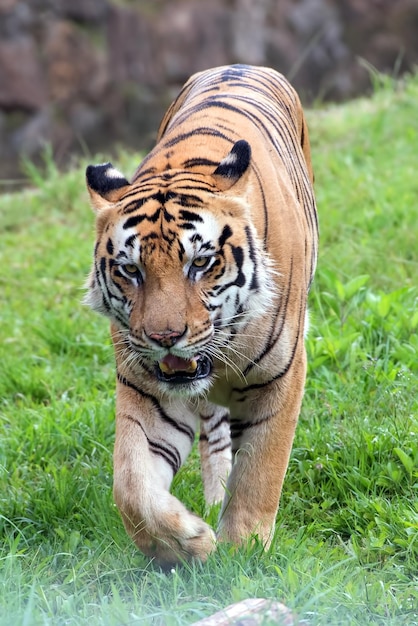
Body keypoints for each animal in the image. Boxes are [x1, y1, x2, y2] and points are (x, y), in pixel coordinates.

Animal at [86, 64, 318, 564]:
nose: (165, 337)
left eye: (201, 263)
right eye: (130, 270)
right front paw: (186, 542)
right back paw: (210, 504)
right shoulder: (147, 390)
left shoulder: (282, 377)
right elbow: (130, 484)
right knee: (214, 431)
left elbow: (259, 472)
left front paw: (243, 554)